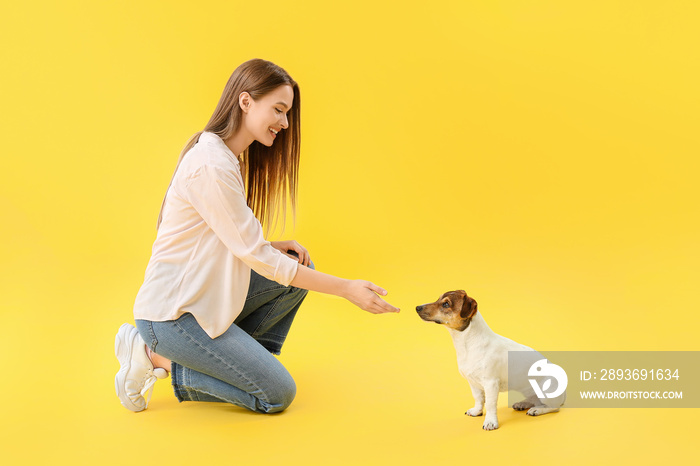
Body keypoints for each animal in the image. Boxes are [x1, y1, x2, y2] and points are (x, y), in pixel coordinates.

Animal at [416, 290, 564, 432]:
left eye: (446, 304)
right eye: (438, 298)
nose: (417, 307)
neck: (468, 344)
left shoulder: (491, 384)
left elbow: (490, 404)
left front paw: (490, 422)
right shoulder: (473, 382)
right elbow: (478, 398)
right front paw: (477, 411)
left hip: (546, 392)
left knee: (553, 407)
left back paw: (537, 410)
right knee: (534, 399)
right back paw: (523, 404)